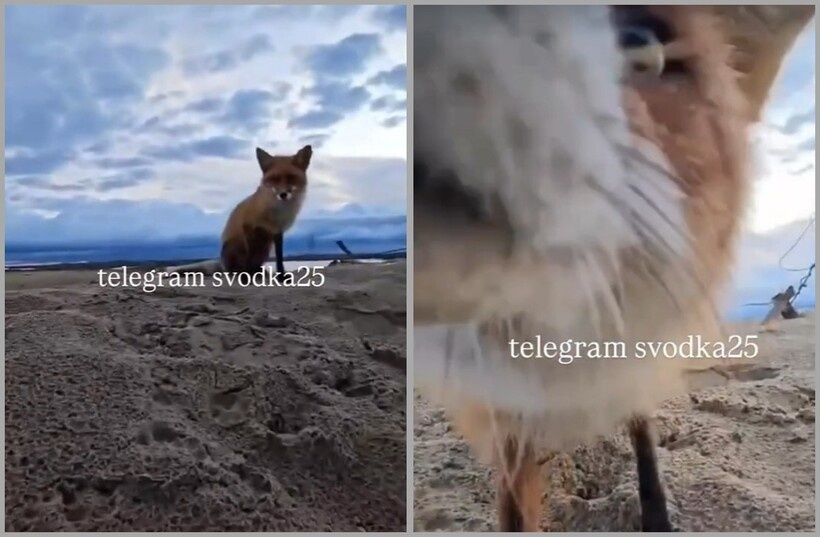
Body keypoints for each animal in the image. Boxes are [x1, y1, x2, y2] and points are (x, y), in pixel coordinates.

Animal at [167, 144, 312, 278]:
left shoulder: (277, 231)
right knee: (234, 269)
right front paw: (249, 274)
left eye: (291, 177)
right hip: (236, 246)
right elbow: (250, 255)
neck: (277, 211)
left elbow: (279, 258)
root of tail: (222, 263)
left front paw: (281, 276)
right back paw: (243, 272)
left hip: (265, 248)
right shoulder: (249, 225)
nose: (283, 194)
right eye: (274, 179)